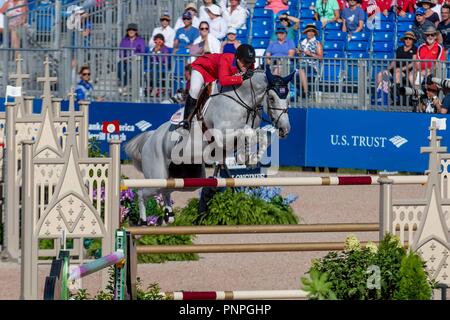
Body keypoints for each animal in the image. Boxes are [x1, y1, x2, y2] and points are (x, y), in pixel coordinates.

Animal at [124, 66, 296, 225]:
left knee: (166, 189)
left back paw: (168, 215)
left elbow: (262, 135)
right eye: (272, 98)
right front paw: (244, 156)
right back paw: (143, 221)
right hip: (157, 176)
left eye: (288, 99)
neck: (243, 101)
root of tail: (150, 137)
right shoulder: (221, 136)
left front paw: (251, 158)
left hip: (186, 178)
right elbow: (247, 132)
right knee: (142, 193)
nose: (285, 129)